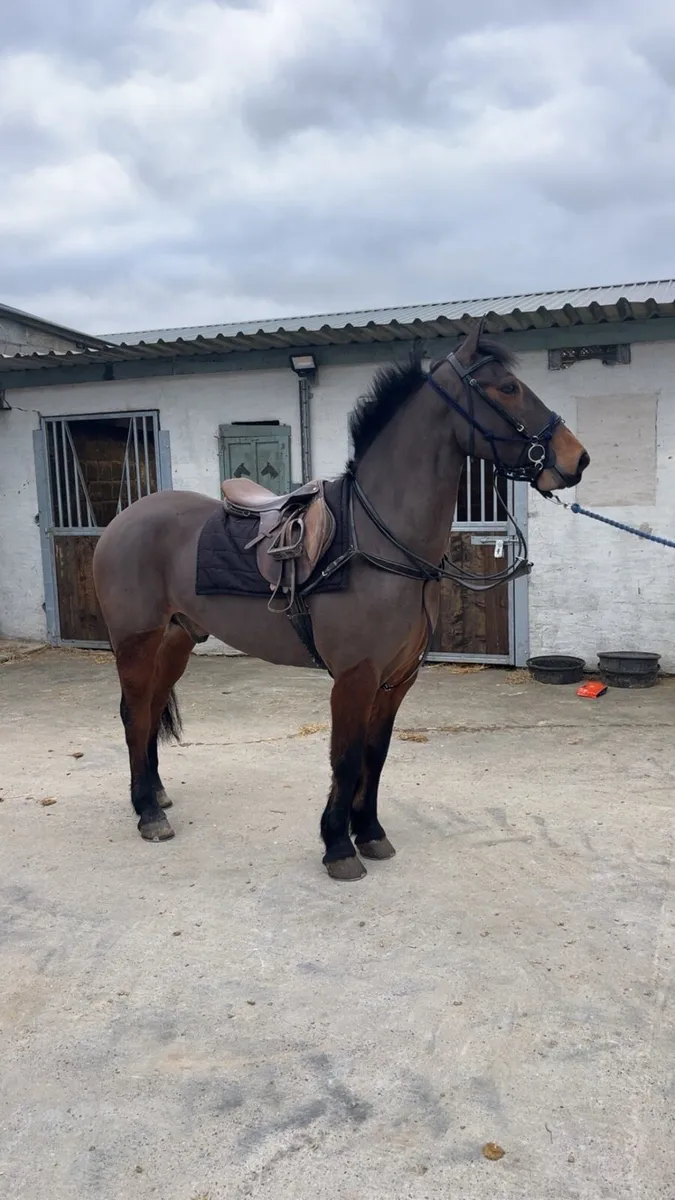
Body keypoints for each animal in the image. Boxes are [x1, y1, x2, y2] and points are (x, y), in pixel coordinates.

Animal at [93, 321, 589, 880]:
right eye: (506, 388)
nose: (576, 458)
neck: (379, 539)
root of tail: (123, 520)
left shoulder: (396, 679)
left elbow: (376, 754)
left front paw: (369, 831)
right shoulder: (355, 676)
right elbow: (346, 757)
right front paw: (337, 845)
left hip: (176, 639)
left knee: (150, 709)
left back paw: (155, 795)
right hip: (135, 640)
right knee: (136, 713)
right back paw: (148, 813)